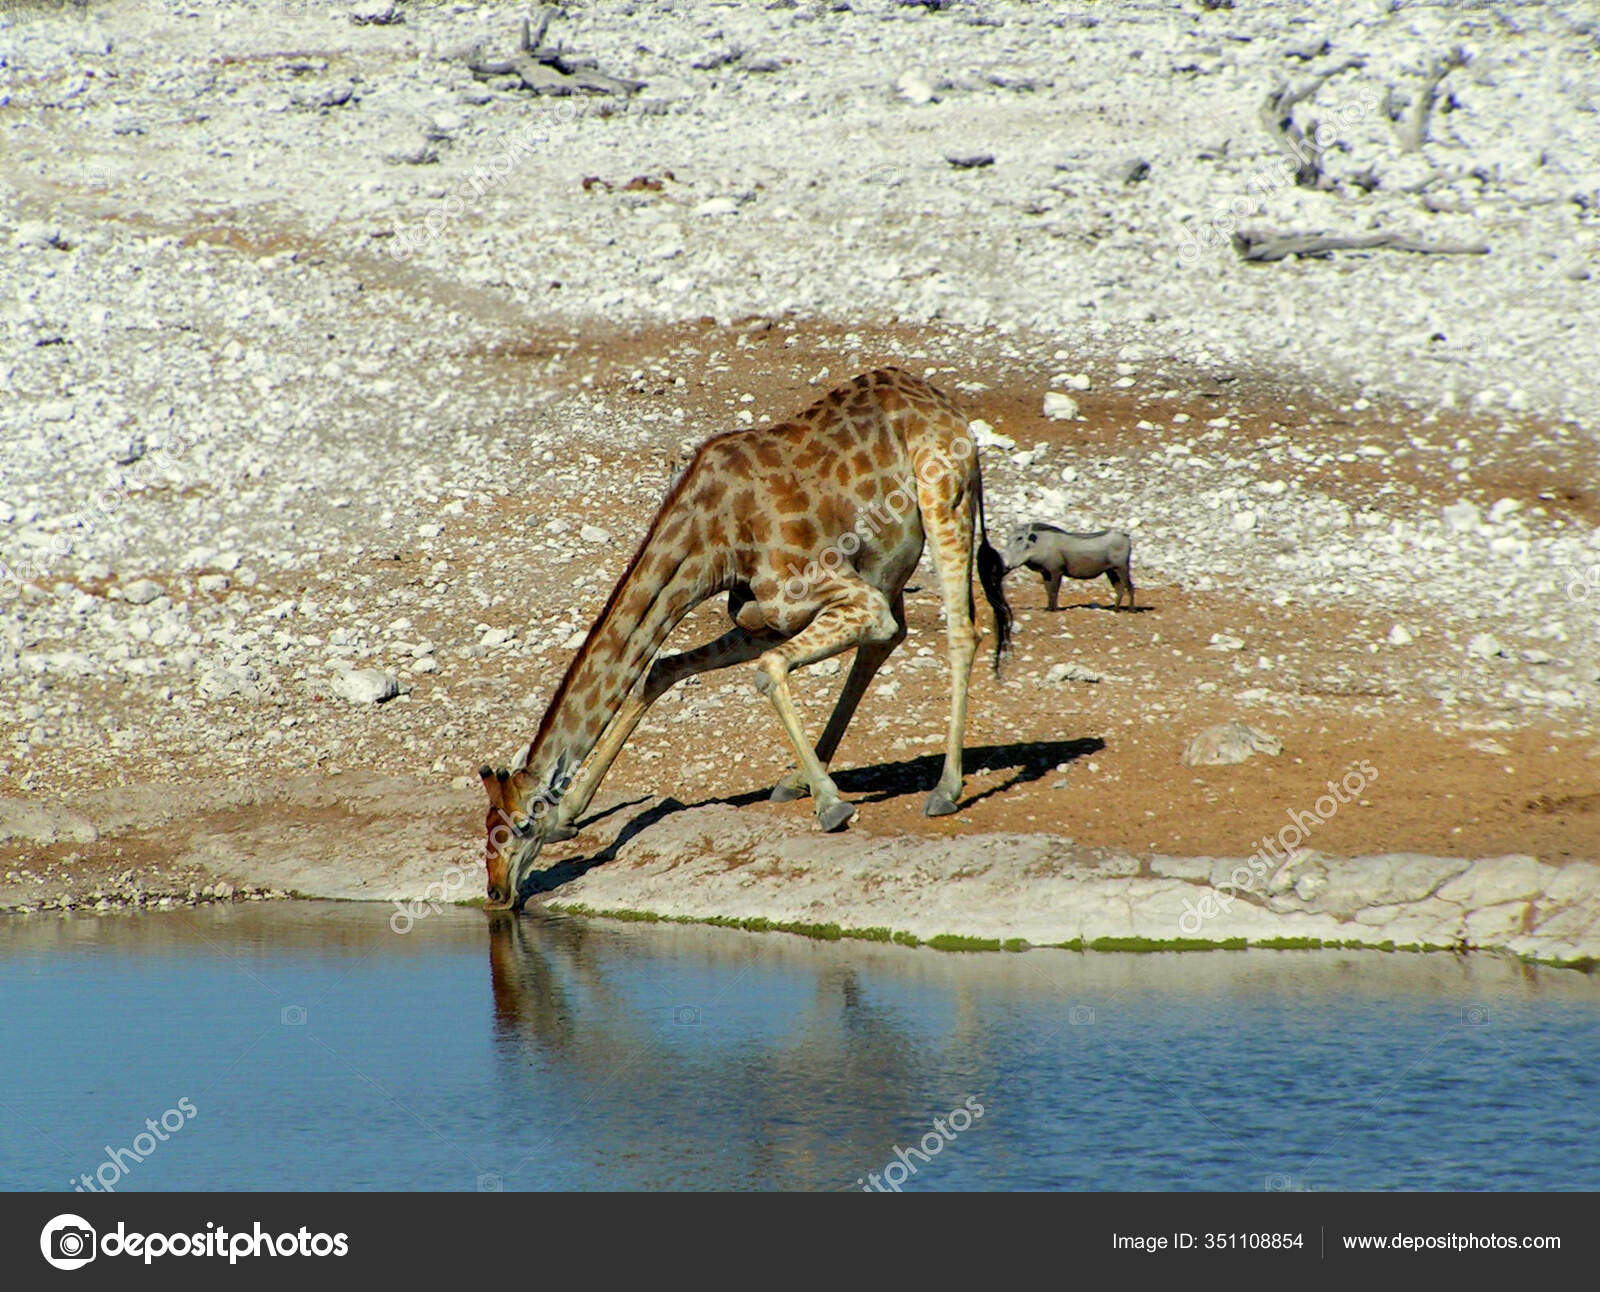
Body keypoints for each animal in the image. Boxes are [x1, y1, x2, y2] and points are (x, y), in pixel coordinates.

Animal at [479, 368, 1013, 909]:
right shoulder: (765, 618)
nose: (496, 892)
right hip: (888, 561)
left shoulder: (847, 597)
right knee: (890, 640)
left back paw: (944, 790)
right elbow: (661, 669)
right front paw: (572, 811)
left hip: (943, 498)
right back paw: (795, 780)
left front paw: (831, 806)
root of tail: (946, 405)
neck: (713, 540)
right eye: (486, 824)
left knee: (960, 630)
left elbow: (769, 670)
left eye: (521, 826)